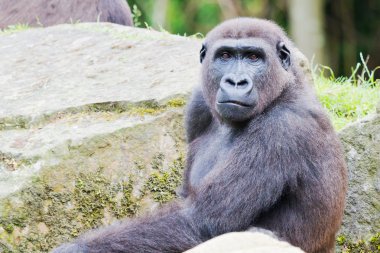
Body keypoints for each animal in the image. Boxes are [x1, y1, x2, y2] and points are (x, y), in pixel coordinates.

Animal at [52, 17, 348, 253]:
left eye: (254, 58)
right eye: (225, 56)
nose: (236, 82)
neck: (284, 87)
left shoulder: (283, 127)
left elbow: (201, 221)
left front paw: (76, 249)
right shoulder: (197, 105)